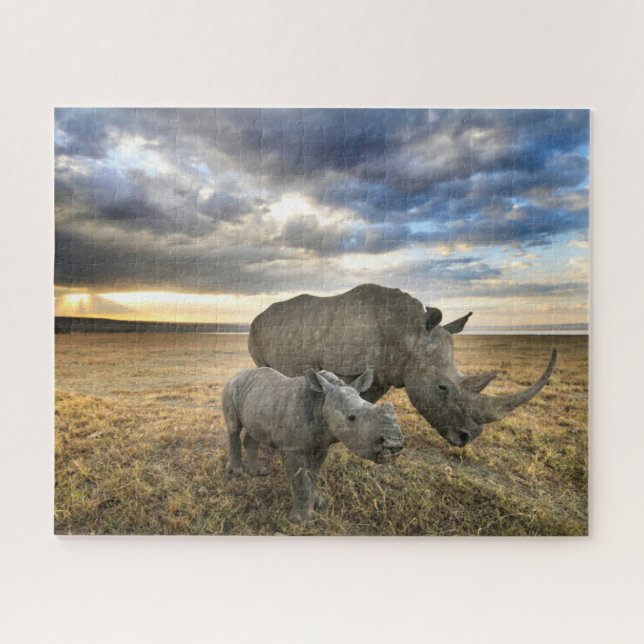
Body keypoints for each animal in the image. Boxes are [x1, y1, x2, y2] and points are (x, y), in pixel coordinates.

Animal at [221, 366, 404, 523]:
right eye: (351, 418)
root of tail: (237, 374)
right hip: (231, 388)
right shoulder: (293, 447)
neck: (322, 400)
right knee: (234, 428)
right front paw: (302, 520)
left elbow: (313, 474)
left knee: (254, 431)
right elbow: (300, 479)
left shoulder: (322, 445)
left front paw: (317, 503)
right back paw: (237, 472)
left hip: (257, 397)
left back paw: (258, 472)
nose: (394, 444)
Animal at [248, 283, 557, 447]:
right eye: (442, 388)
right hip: (255, 330)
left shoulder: (384, 372)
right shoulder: (345, 367)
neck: (407, 334)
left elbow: (365, 403)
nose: (467, 438)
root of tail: (258, 314)